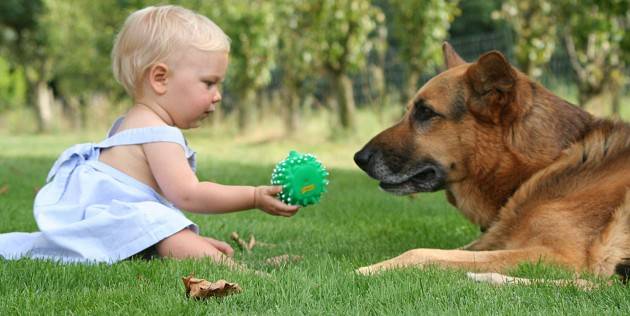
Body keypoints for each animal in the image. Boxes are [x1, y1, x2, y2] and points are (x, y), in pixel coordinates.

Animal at [354, 41, 630, 284]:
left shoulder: (558, 256)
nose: (359, 158)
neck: (545, 165)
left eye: (425, 112)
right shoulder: (491, 242)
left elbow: (420, 252)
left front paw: (366, 270)